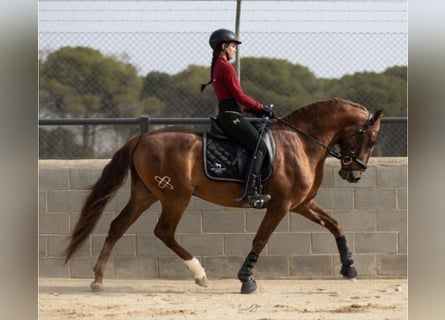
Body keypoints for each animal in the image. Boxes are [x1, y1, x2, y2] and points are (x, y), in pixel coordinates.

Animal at [64, 97, 384, 292]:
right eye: (370, 139)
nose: (354, 174)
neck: (302, 142)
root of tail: (142, 137)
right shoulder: (280, 205)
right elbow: (260, 239)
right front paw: (246, 280)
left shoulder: (301, 204)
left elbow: (335, 224)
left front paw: (349, 268)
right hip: (176, 197)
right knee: (163, 231)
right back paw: (200, 274)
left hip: (145, 195)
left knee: (117, 226)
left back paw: (98, 280)